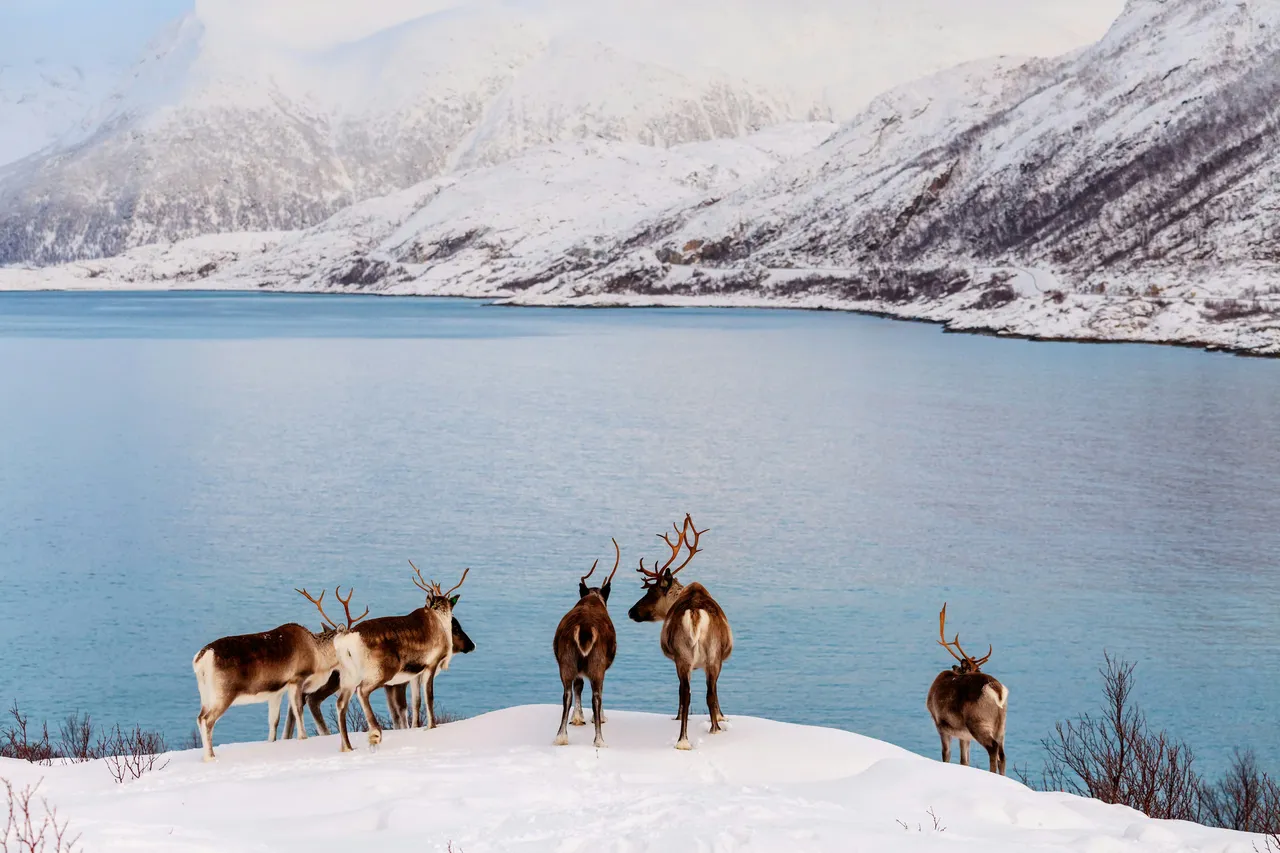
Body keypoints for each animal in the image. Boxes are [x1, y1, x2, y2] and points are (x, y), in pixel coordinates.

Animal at [192, 585, 368, 762]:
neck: (318, 658)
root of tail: (201, 658)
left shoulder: (275, 691)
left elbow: (274, 722)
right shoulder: (296, 679)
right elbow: (298, 711)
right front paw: (302, 738)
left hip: (205, 695)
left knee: (200, 717)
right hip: (223, 693)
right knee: (207, 720)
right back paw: (210, 756)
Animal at [333, 564, 471, 752]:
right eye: (455, 627)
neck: (440, 620)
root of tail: (346, 640)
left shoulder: (415, 673)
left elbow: (416, 701)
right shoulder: (431, 664)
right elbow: (429, 696)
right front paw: (432, 726)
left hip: (348, 677)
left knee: (341, 703)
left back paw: (347, 747)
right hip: (380, 672)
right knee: (362, 691)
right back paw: (375, 734)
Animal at [553, 538, 620, 748]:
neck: (592, 597)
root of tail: (584, 629)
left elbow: (578, 685)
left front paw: (577, 718)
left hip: (566, 661)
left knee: (566, 693)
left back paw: (561, 737)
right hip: (597, 663)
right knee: (596, 696)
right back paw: (599, 740)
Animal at [627, 514, 732, 750]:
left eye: (651, 591)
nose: (631, 611)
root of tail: (694, 613)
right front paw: (721, 718)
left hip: (688, 657)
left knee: (689, 692)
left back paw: (685, 738)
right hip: (704, 657)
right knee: (699, 693)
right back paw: (701, 734)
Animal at [926, 603, 1008, 775]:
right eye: (975, 669)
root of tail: (997, 690)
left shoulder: (940, 724)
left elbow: (946, 755)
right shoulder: (964, 736)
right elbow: (965, 761)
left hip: (978, 721)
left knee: (993, 748)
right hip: (1001, 725)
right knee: (1002, 755)